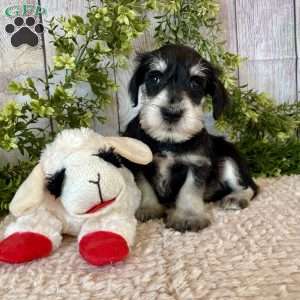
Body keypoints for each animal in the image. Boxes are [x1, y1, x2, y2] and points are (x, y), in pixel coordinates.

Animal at [123, 44, 258, 232]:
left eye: (195, 82)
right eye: (155, 77)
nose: (172, 113)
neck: (169, 141)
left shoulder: (197, 163)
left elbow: (190, 189)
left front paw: (188, 216)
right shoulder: (137, 163)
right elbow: (143, 185)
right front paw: (148, 207)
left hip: (229, 160)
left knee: (251, 186)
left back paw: (236, 198)